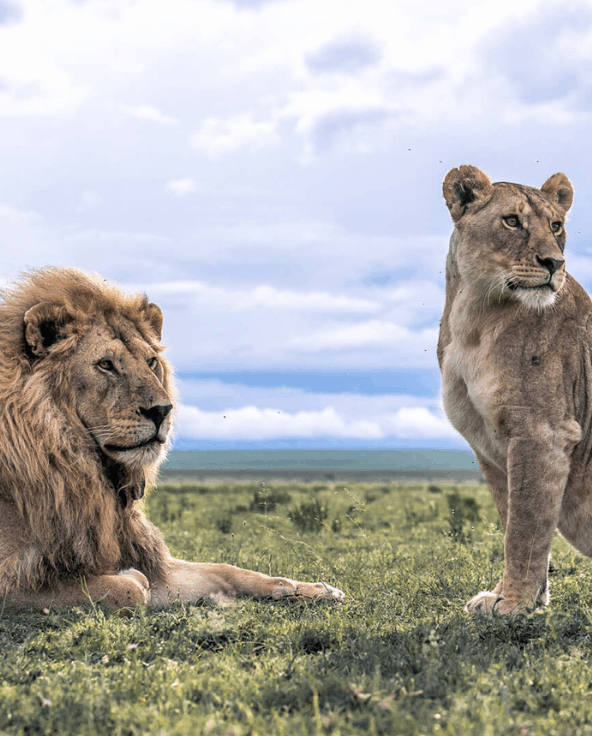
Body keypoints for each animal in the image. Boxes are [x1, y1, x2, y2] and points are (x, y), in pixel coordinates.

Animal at [0, 267, 344, 613]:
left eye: (150, 361)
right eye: (105, 364)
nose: (162, 411)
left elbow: (224, 570)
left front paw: (310, 589)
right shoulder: (14, 579)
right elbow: (131, 589)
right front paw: (127, 576)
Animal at [436, 165, 592, 614]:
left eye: (556, 226)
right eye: (512, 221)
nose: (554, 262)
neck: (474, 317)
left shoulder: (542, 432)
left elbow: (525, 525)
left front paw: (514, 602)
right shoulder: (487, 442)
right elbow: (513, 518)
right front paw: (522, 598)